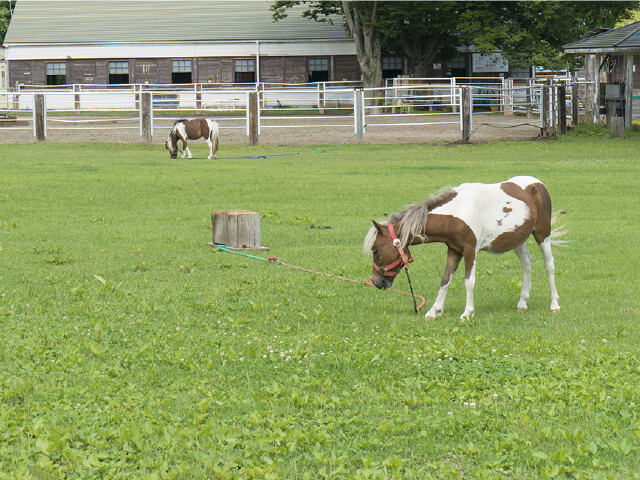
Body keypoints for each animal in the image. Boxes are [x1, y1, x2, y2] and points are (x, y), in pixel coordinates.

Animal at [364, 176, 564, 322]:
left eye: (375, 250)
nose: (376, 282)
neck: (457, 213)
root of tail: (537, 183)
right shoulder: (454, 251)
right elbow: (445, 280)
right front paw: (434, 311)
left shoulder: (469, 251)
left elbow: (469, 282)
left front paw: (467, 313)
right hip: (518, 240)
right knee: (527, 264)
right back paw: (522, 302)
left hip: (542, 235)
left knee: (549, 265)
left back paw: (554, 304)